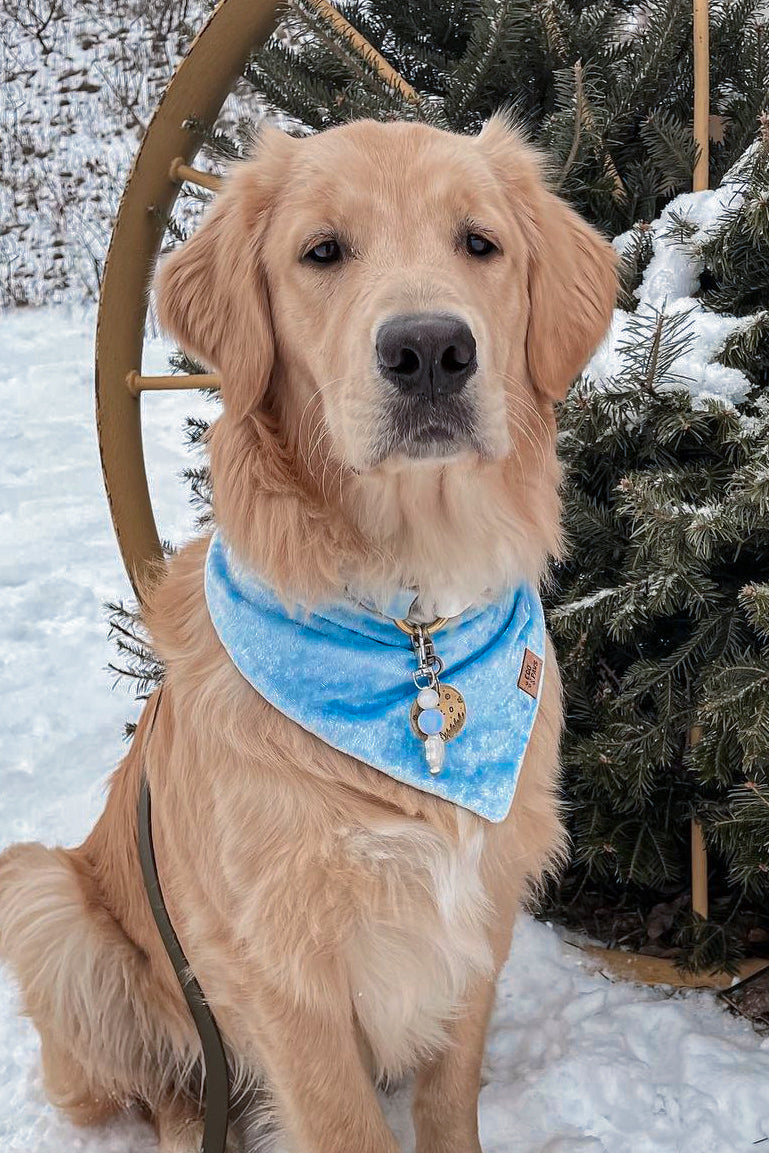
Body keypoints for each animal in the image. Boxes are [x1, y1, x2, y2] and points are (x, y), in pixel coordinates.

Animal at [0, 119, 613, 1153]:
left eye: (479, 243)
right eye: (321, 252)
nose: (430, 348)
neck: (408, 622)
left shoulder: (476, 918)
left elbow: (450, 1100)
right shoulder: (282, 968)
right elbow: (343, 1123)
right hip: (49, 903)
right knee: (166, 1086)